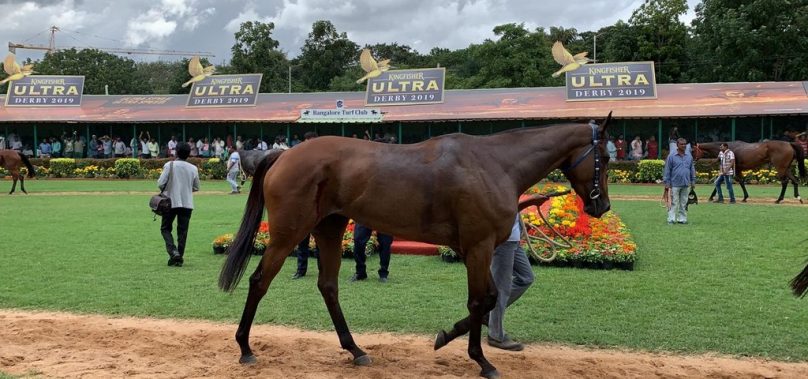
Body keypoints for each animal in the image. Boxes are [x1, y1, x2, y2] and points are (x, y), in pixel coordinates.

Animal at [218, 114, 608, 378]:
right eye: (603, 156)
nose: (601, 206)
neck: (494, 164)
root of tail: (283, 155)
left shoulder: (473, 249)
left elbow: (491, 298)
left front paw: (446, 336)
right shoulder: (479, 246)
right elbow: (479, 300)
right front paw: (481, 359)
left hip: (329, 227)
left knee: (328, 286)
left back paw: (355, 349)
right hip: (288, 233)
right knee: (259, 282)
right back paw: (245, 347)